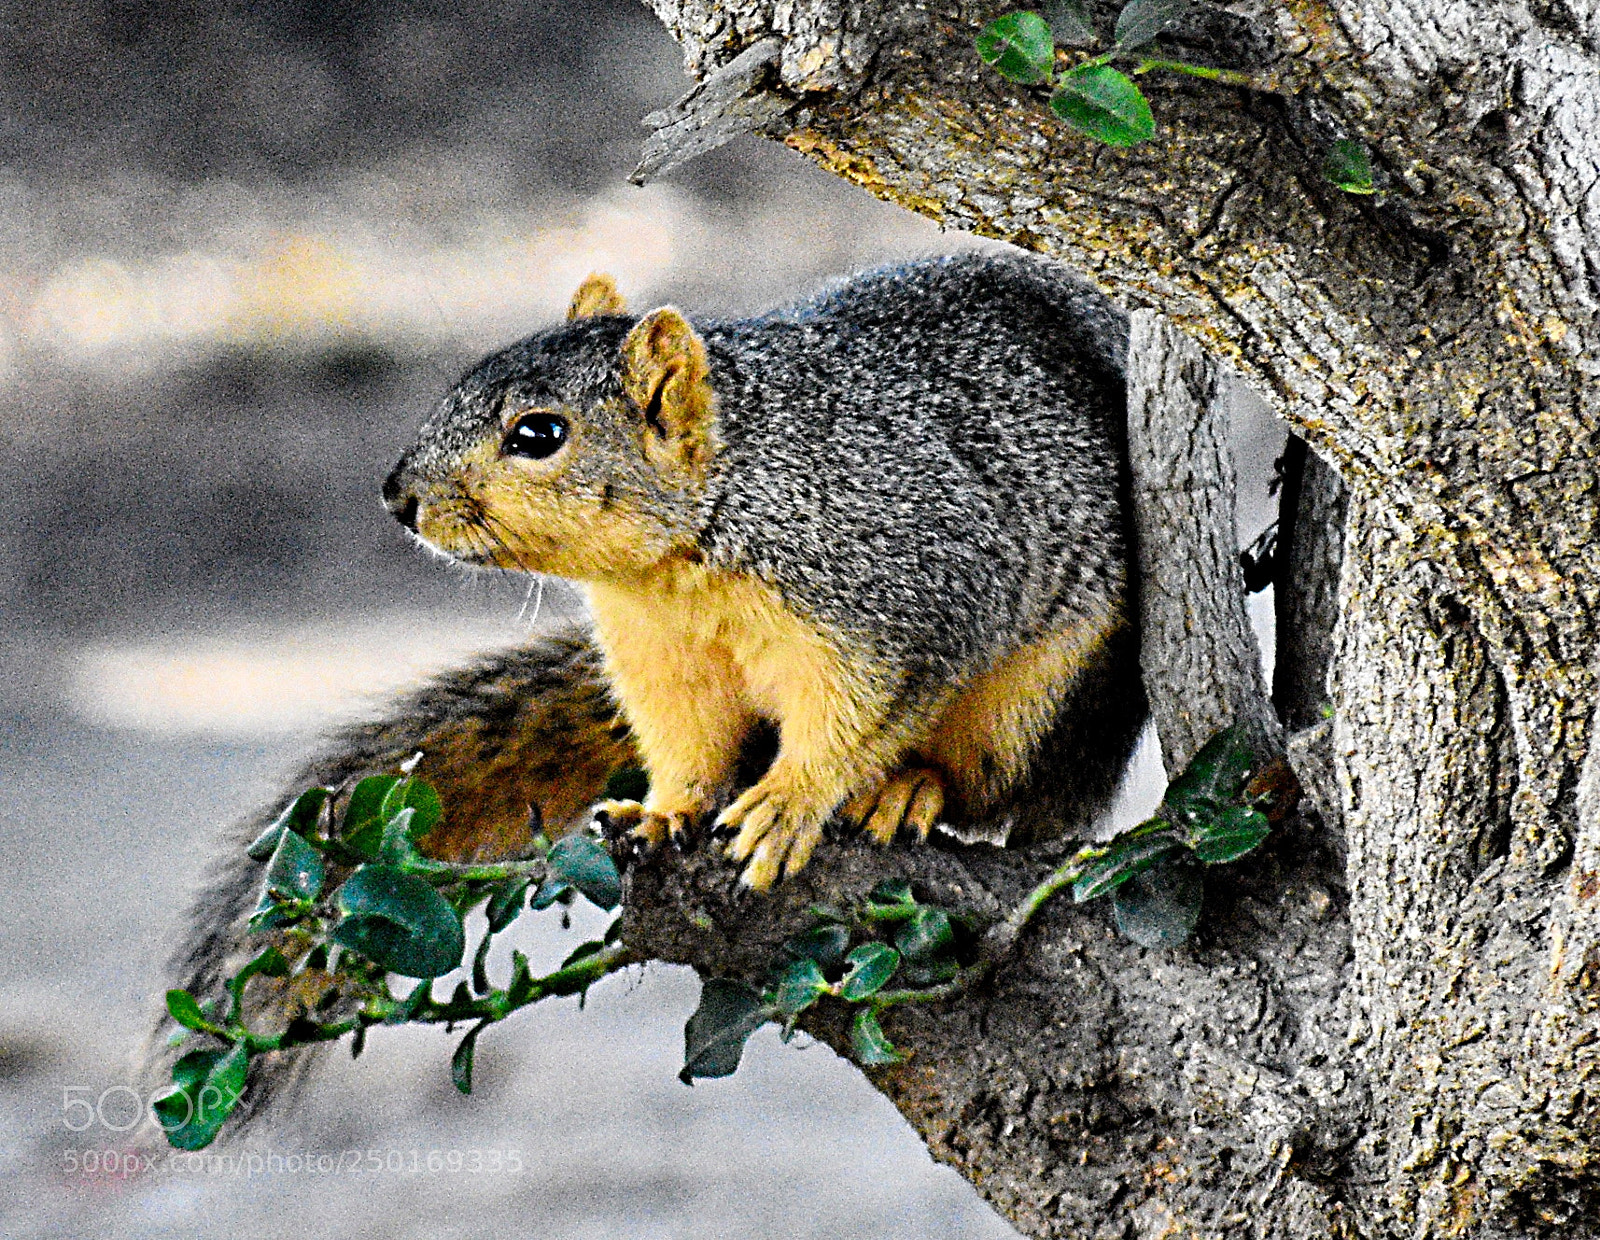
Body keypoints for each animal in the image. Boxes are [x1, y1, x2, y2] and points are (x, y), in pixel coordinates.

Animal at [381, 251, 1143, 890]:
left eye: (538, 434)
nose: (396, 496)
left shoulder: (894, 604)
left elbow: (851, 723)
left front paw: (785, 804)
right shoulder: (661, 653)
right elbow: (687, 741)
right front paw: (664, 809)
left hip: (1034, 703)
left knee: (988, 788)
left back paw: (908, 788)